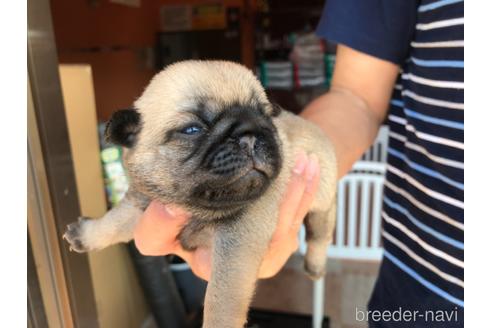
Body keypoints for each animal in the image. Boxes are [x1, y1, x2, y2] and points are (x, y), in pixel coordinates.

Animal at [63, 60, 336, 326]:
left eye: (267, 119)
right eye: (192, 130)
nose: (250, 136)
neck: (197, 207)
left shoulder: (235, 245)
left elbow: (221, 300)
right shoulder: (143, 202)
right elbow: (113, 222)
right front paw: (87, 234)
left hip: (323, 198)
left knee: (320, 233)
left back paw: (315, 264)